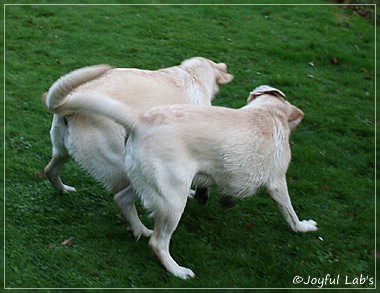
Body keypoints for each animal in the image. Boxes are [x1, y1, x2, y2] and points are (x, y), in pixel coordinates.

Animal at [43, 57, 233, 240]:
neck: (191, 74)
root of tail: (68, 104)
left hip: (62, 152)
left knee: (50, 170)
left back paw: (63, 190)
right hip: (120, 166)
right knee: (124, 201)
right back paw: (139, 229)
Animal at [49, 84, 318, 278]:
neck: (268, 112)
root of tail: (140, 120)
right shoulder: (277, 182)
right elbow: (290, 212)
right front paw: (303, 227)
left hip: (146, 182)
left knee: (122, 199)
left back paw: (139, 230)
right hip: (172, 200)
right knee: (158, 243)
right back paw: (177, 270)